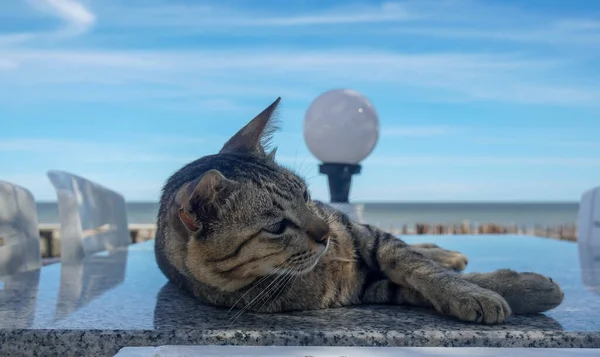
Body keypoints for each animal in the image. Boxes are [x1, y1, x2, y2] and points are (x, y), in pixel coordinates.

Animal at [154, 96, 564, 322]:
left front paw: (485, 289)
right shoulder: (365, 288)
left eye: (306, 195)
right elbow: (412, 286)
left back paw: (445, 252)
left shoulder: (371, 237)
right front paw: (506, 292)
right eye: (277, 226)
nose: (325, 235)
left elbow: (422, 267)